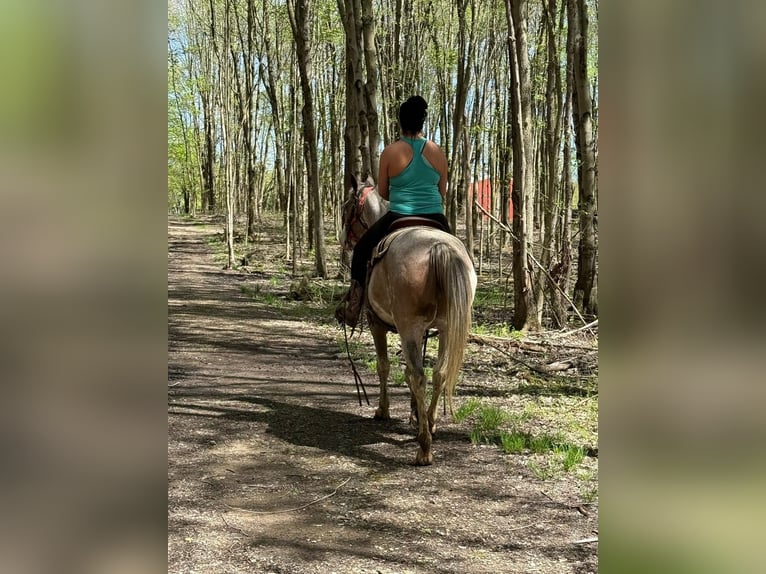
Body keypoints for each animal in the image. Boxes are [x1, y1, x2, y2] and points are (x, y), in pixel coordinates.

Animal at [340, 176, 477, 465]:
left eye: (347, 206)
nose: (344, 239)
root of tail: (439, 247)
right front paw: (416, 413)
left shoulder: (377, 323)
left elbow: (385, 366)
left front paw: (383, 410)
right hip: (446, 328)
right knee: (438, 373)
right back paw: (431, 424)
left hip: (408, 326)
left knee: (419, 376)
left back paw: (424, 448)